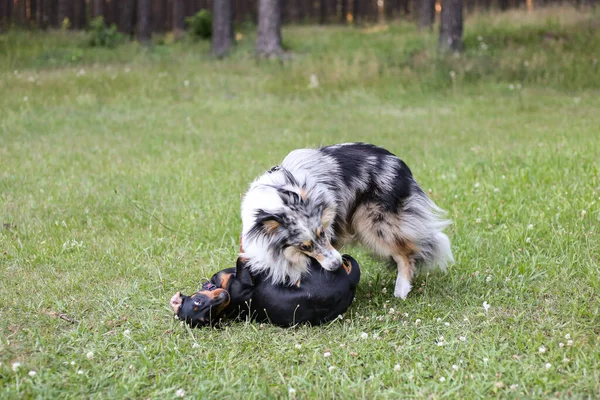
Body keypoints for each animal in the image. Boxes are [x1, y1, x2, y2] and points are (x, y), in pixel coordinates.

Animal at [241, 142, 452, 298]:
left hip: (372, 223)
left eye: (322, 233)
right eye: (304, 246)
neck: (276, 199)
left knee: (406, 253)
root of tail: (399, 164)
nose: (337, 264)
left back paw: (401, 290)